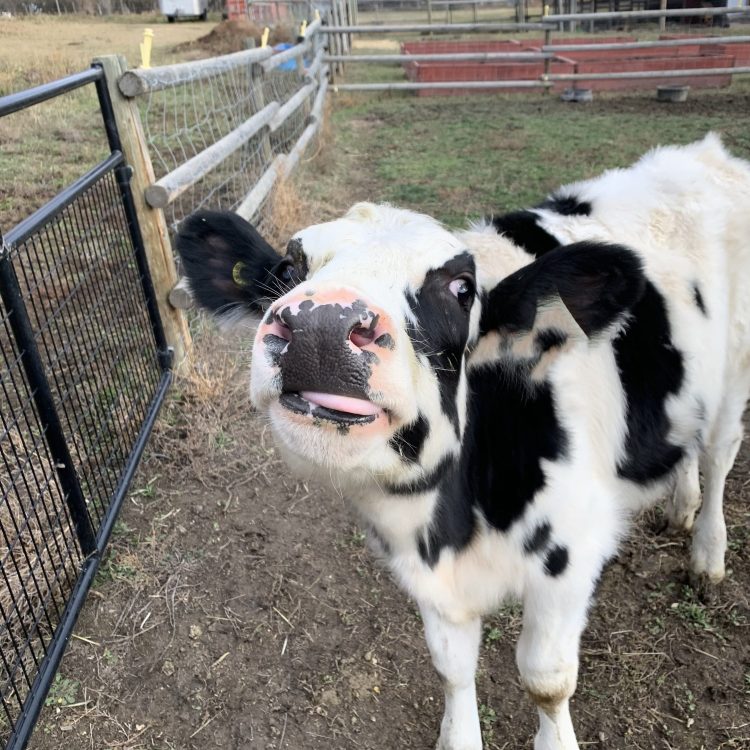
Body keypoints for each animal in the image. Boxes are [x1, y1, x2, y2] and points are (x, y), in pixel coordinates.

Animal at [175, 134, 750, 750]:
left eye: (460, 290)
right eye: (287, 268)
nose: (321, 328)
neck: (451, 518)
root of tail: (703, 154)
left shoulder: (571, 555)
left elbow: (546, 680)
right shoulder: (425, 577)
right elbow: (452, 667)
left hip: (733, 378)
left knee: (719, 456)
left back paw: (707, 554)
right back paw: (680, 504)